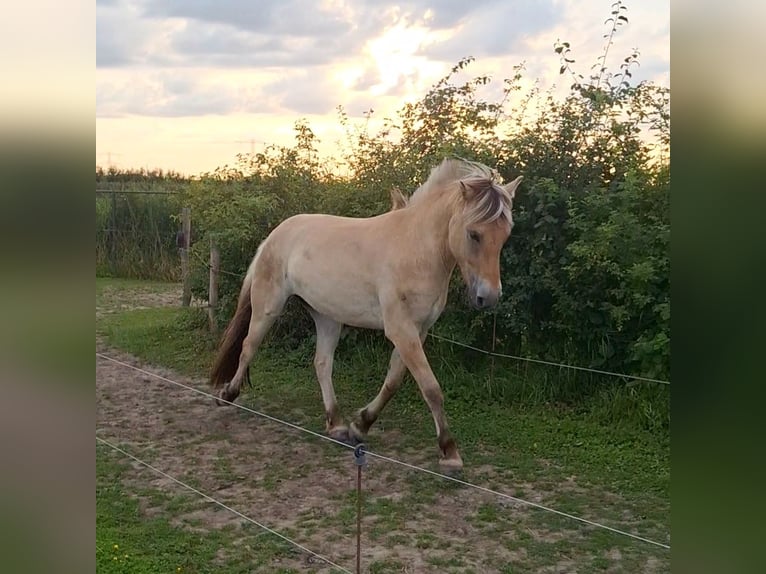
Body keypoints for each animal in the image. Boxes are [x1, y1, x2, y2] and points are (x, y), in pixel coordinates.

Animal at [210, 158, 522, 473]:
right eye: (474, 234)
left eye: (505, 235)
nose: (489, 297)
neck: (415, 249)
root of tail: (275, 235)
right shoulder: (401, 329)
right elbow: (431, 387)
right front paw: (450, 452)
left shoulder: (416, 330)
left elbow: (393, 381)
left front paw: (360, 426)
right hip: (268, 306)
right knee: (249, 347)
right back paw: (228, 395)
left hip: (327, 317)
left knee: (322, 363)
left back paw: (335, 424)